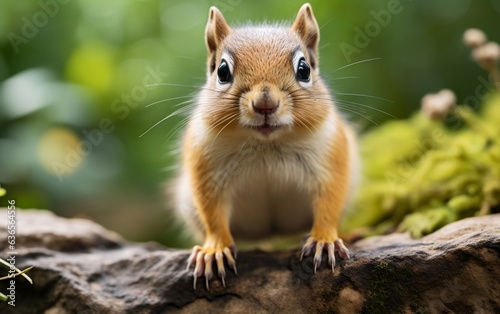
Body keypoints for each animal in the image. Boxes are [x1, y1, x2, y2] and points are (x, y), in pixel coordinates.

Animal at [173, 3, 360, 290]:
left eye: (304, 69)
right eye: (222, 71)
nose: (265, 104)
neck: (266, 145)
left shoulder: (331, 157)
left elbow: (329, 203)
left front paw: (324, 240)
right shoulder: (205, 167)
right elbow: (212, 213)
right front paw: (215, 250)